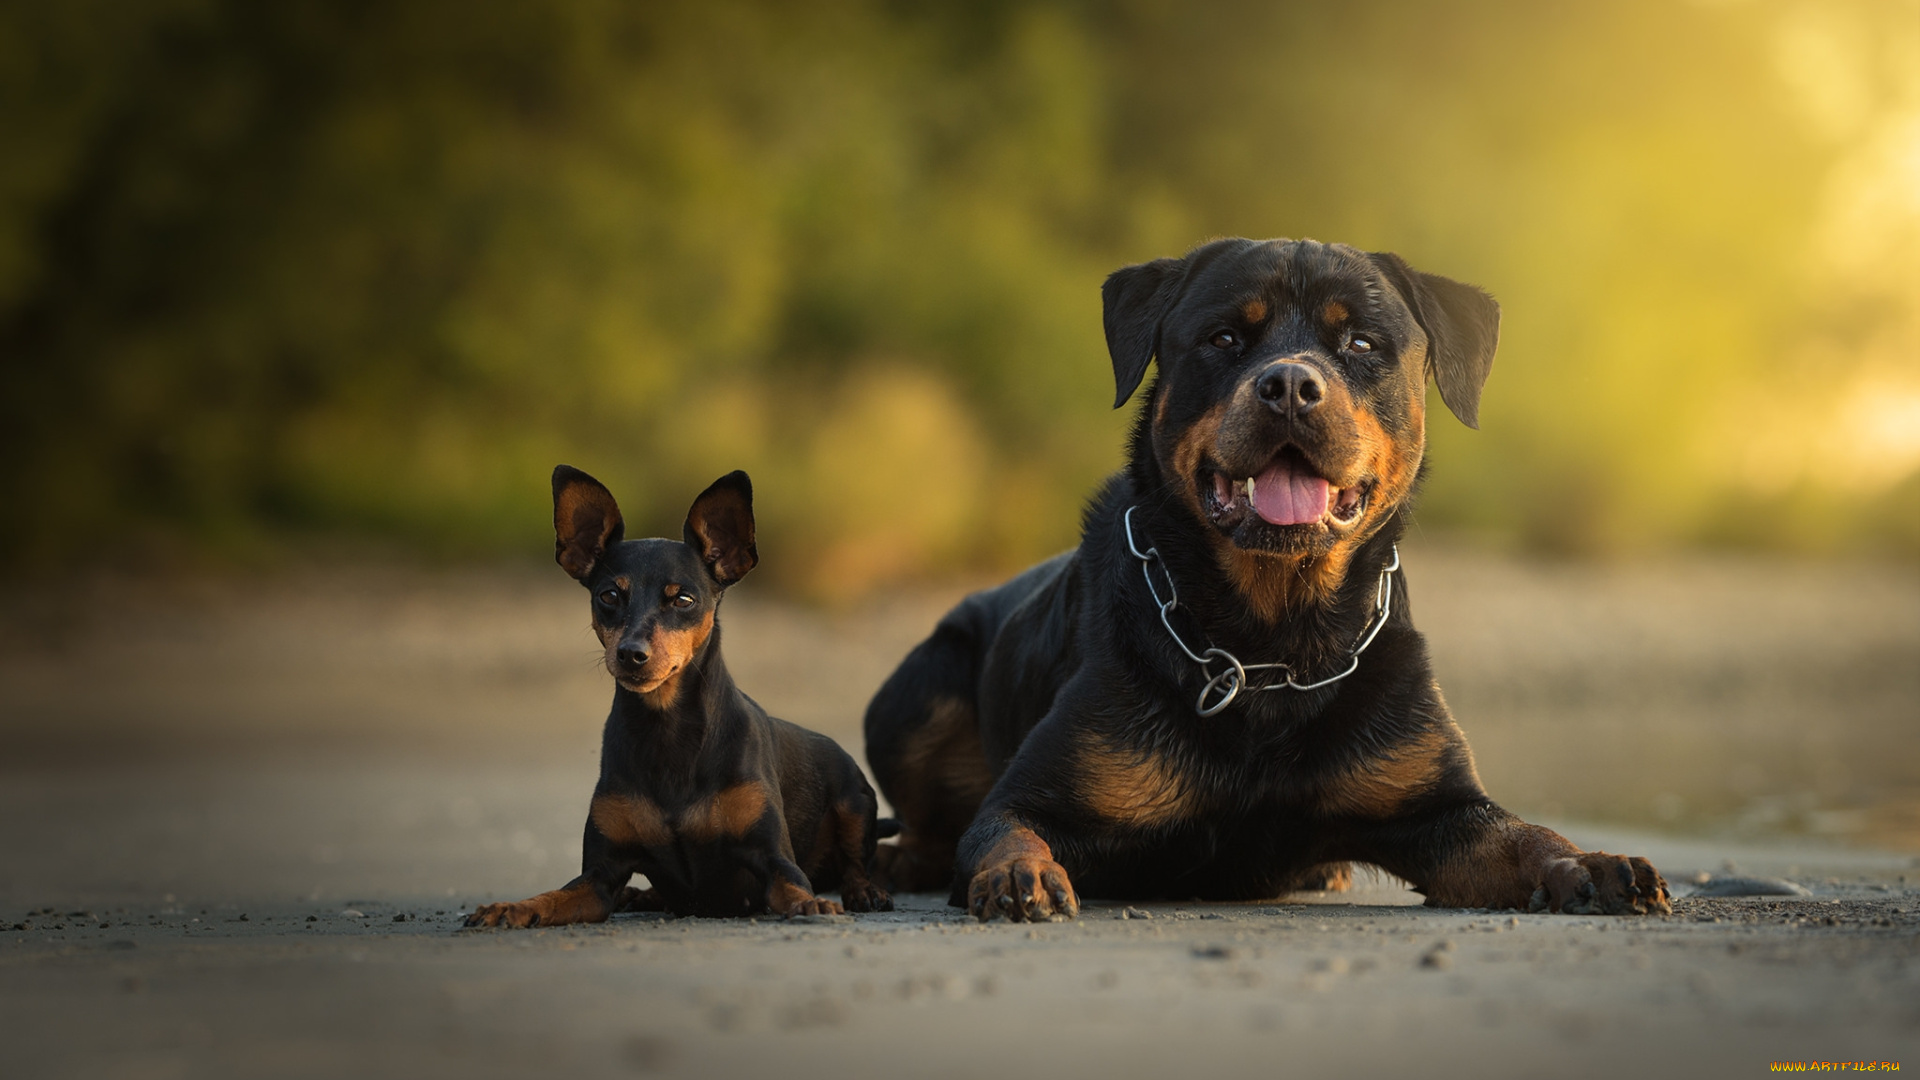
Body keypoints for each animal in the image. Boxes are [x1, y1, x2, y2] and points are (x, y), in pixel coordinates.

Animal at [464, 466, 890, 922]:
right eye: (608, 595)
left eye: (683, 599)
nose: (631, 654)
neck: (667, 728)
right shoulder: (599, 876)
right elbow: (553, 897)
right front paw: (510, 908)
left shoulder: (772, 857)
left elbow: (794, 886)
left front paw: (813, 903)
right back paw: (644, 896)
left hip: (854, 799)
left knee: (856, 862)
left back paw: (866, 891)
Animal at [864, 235, 1674, 914]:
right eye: (1224, 338)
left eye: (1360, 343)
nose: (1288, 384)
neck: (1272, 646)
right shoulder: (1034, 795)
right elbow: (1006, 829)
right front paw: (1018, 874)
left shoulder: (1439, 809)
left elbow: (1523, 835)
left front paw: (1590, 862)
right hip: (916, 694)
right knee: (928, 822)